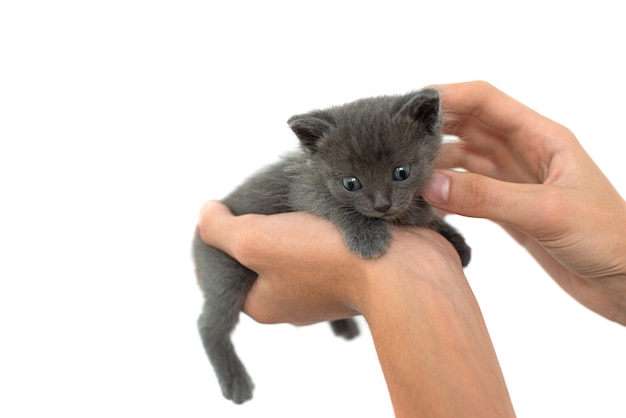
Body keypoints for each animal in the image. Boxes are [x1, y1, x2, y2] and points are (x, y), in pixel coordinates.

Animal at [193, 89, 470, 404]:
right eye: (351, 183)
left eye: (402, 172)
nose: (382, 205)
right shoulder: (304, 192)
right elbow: (337, 206)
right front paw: (368, 235)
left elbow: (419, 213)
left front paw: (454, 239)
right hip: (224, 270)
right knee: (209, 323)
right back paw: (235, 379)